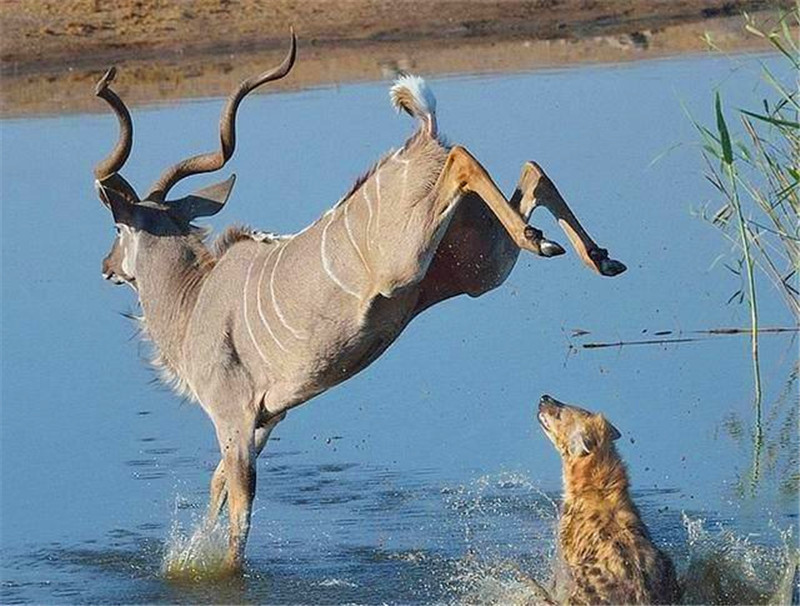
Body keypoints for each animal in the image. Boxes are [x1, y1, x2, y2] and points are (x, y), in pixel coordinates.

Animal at [94, 33, 628, 576]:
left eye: (118, 227)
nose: (107, 266)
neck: (195, 299)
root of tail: (421, 139)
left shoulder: (235, 420)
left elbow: (237, 512)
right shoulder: (267, 420)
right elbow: (219, 485)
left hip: (407, 258)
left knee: (463, 159)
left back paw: (545, 239)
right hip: (484, 267)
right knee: (531, 172)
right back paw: (591, 255)